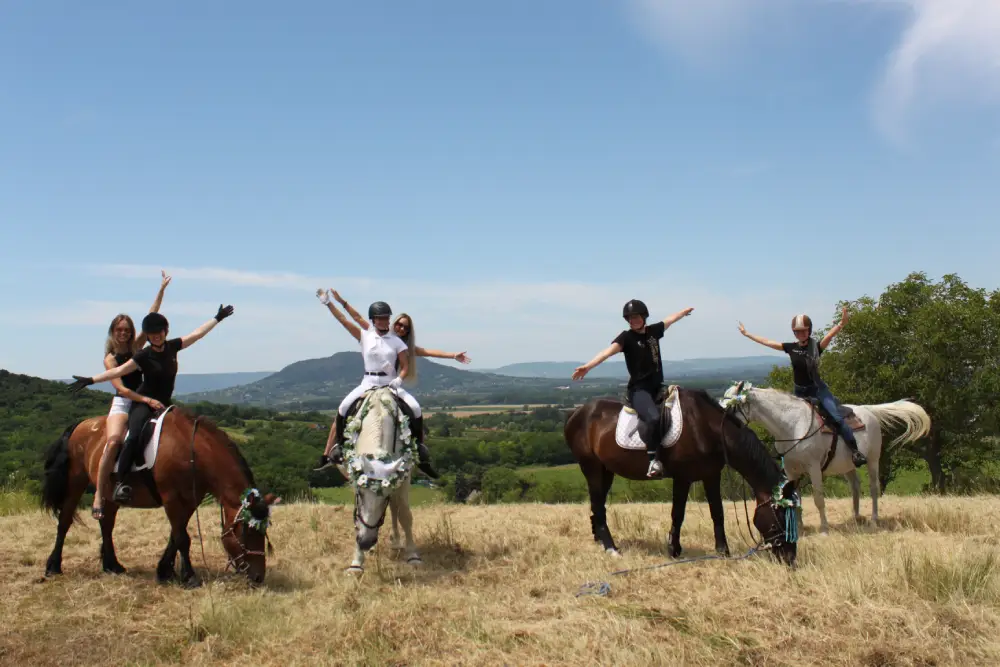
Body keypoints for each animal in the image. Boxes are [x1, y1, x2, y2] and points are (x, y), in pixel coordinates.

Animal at [40, 410, 280, 588]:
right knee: (65, 521)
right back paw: (53, 566)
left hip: (107, 492)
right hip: (76, 482)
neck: (192, 452)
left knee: (106, 524)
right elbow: (182, 538)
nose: (258, 577)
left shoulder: (189, 501)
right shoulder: (171, 499)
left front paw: (165, 571)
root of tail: (80, 425)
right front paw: (189, 577)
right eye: (247, 531)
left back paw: (112, 565)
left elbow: (176, 535)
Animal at [340, 386, 422, 576]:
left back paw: (396, 542)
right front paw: (356, 562)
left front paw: (412, 555)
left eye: (384, 497)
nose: (365, 542)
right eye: (360, 494)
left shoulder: (403, 478)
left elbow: (405, 515)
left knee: (395, 509)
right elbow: (357, 517)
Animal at [568, 386, 800, 564]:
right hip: (592, 468)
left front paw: (722, 551)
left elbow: (717, 512)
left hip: (606, 471)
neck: (707, 429)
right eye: (780, 518)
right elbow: (678, 513)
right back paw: (611, 548)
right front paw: (673, 549)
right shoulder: (683, 477)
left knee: (597, 504)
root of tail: (575, 414)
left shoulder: (711, 475)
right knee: (598, 504)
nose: (790, 558)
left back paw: (599, 539)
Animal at [720, 384, 928, 536]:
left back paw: (874, 520)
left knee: (874, 487)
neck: (792, 425)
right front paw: (800, 528)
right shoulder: (791, 470)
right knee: (855, 485)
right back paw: (856, 517)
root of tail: (867, 410)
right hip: (848, 465)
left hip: (873, 460)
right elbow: (795, 498)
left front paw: (824, 530)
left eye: (731, 405)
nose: (721, 426)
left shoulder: (813, 469)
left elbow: (819, 499)